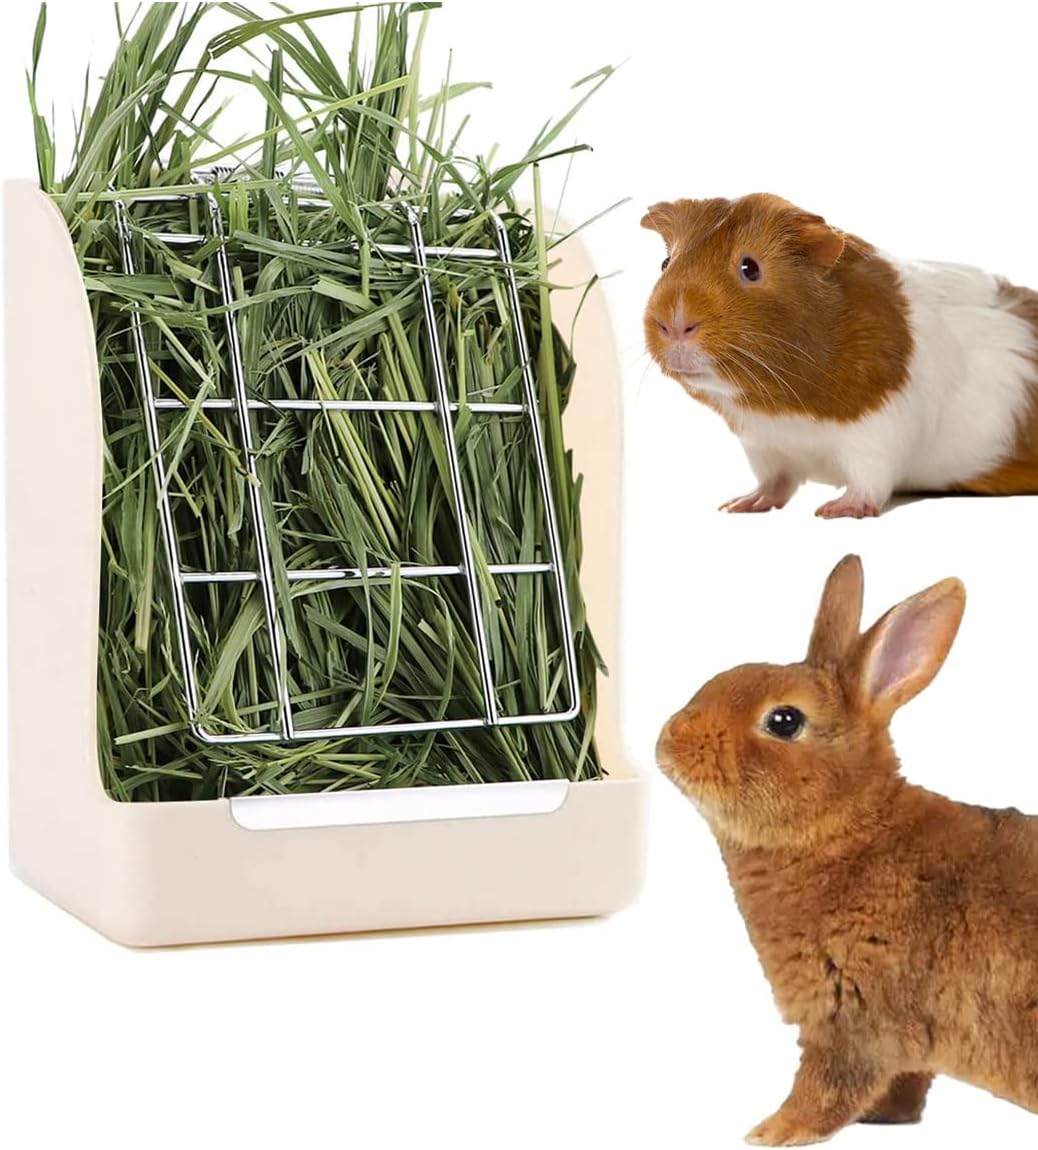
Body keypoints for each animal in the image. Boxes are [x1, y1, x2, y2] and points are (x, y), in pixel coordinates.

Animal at [641, 194, 1038, 518]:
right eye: (666, 263)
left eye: (749, 268)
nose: (674, 324)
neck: (780, 408)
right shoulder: (762, 446)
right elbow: (774, 481)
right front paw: (741, 505)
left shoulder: (880, 433)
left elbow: (869, 481)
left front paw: (837, 510)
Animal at [656, 555, 1038, 1144]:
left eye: (784, 720)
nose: (669, 740)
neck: (847, 830)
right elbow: (906, 1082)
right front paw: (886, 1117)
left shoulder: (852, 1017)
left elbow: (825, 1086)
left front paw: (774, 1131)